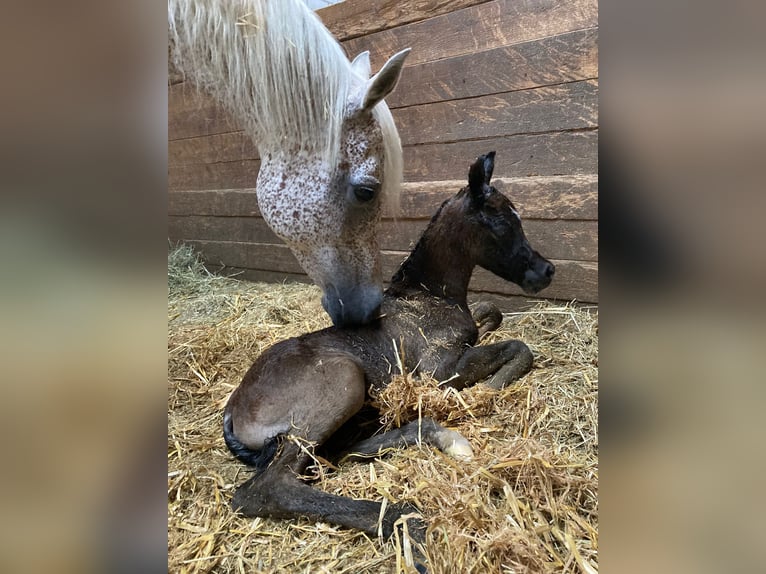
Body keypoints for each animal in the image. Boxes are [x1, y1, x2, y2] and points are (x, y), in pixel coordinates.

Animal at [225, 153, 556, 552]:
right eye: (504, 221)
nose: (546, 270)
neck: (430, 295)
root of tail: (233, 409)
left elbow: (492, 313)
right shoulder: (437, 371)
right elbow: (518, 348)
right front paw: (487, 391)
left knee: (338, 454)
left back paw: (443, 439)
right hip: (342, 383)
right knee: (267, 488)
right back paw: (407, 520)